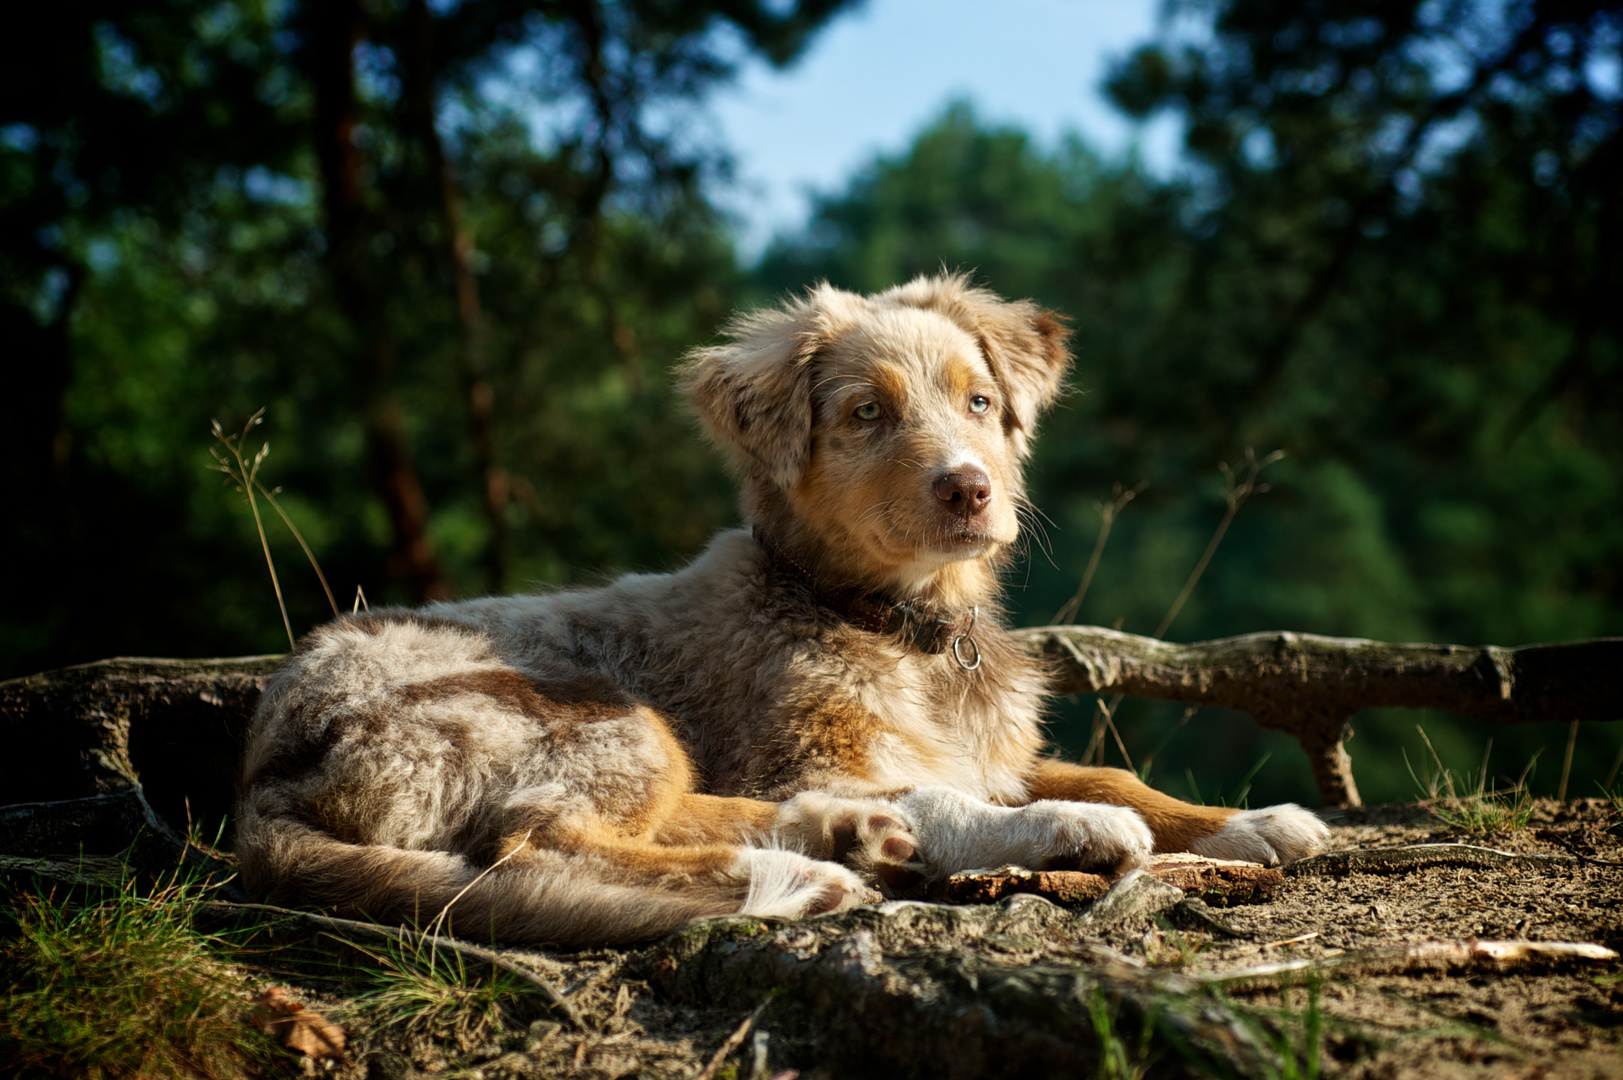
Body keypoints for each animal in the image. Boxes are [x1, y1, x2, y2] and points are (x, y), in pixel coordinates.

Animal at [235, 274, 1324, 941]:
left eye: (979, 401)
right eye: (866, 414)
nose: (969, 490)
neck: (903, 630)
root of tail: (261, 778)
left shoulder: (987, 753)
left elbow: (1109, 771)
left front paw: (1248, 823)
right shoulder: (816, 747)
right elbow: (961, 799)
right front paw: (1072, 827)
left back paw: (840, 839)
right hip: (590, 713)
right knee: (532, 841)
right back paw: (821, 871)